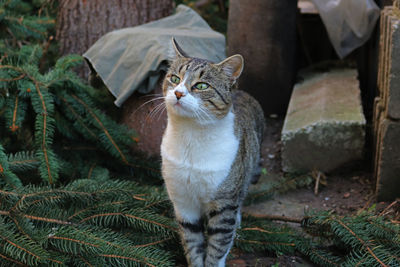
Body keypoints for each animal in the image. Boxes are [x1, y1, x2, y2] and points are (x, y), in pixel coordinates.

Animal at [161, 38, 264, 267]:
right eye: (174, 78)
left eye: (201, 85)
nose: (178, 93)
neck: (190, 136)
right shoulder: (183, 201)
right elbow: (192, 243)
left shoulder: (224, 204)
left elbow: (218, 246)